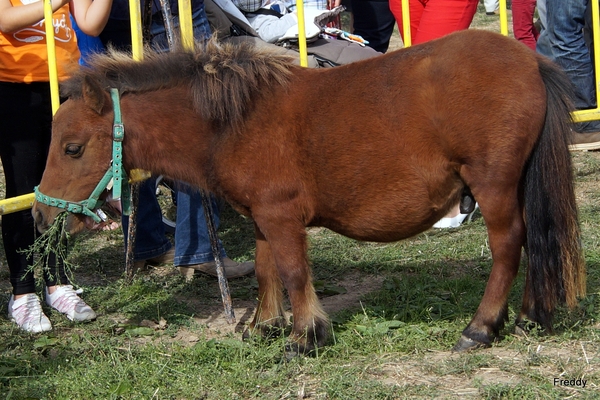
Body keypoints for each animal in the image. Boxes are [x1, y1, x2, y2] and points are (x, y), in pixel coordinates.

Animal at [32, 30, 584, 354]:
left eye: (73, 148)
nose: (40, 217)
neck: (233, 120)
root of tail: (531, 62)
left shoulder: (281, 216)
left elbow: (295, 271)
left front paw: (305, 335)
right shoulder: (261, 217)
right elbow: (267, 269)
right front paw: (264, 325)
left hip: (492, 185)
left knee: (510, 245)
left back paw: (481, 327)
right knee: (538, 241)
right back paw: (531, 315)